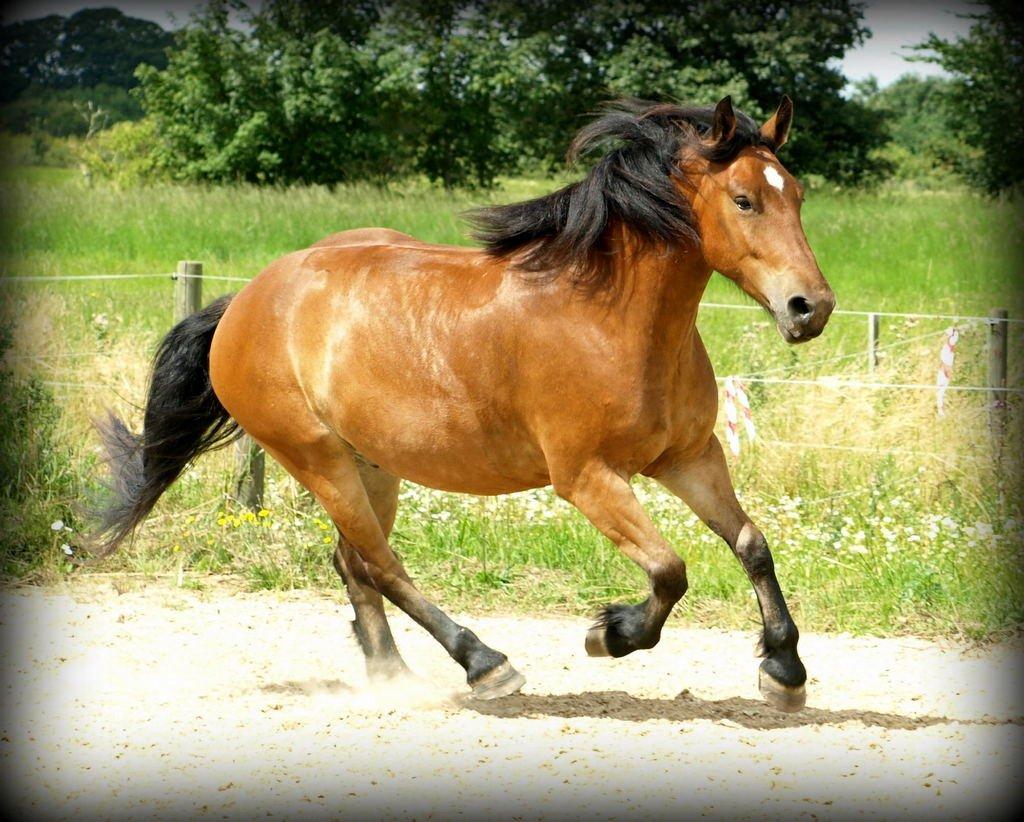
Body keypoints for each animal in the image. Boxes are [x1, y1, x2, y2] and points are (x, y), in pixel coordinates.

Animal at [88, 94, 831, 712]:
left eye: (796, 194)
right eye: (743, 200)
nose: (810, 309)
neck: (612, 317)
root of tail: (245, 300)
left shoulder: (688, 457)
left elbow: (752, 545)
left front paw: (784, 673)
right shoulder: (586, 477)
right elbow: (669, 571)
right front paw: (609, 633)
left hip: (371, 462)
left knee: (354, 562)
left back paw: (393, 676)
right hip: (315, 456)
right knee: (382, 564)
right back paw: (484, 664)